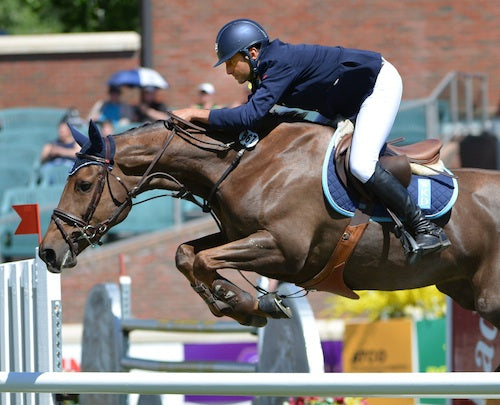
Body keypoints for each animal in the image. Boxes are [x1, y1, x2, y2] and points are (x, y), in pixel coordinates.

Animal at [40, 114, 500, 328]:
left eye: (83, 184)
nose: (47, 251)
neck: (243, 164)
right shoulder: (238, 235)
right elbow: (186, 254)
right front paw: (237, 304)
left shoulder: (285, 250)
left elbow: (202, 260)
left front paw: (247, 304)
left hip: (490, 299)